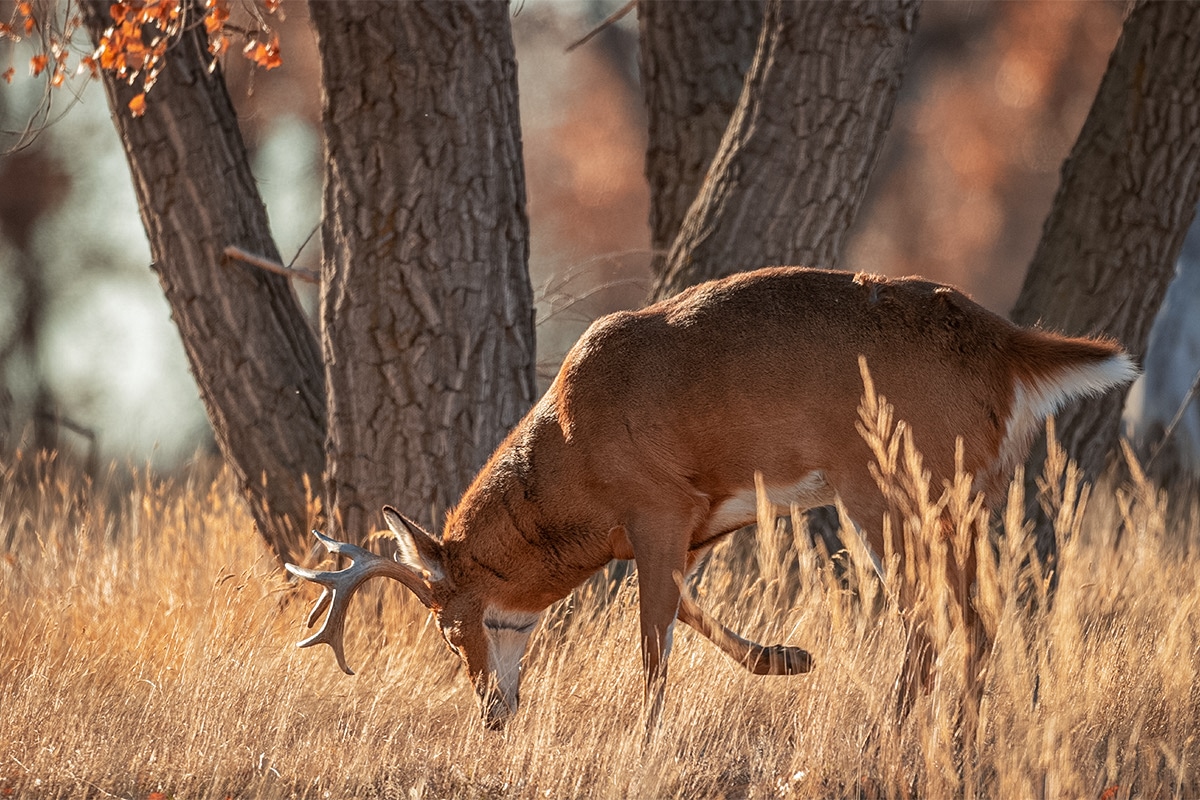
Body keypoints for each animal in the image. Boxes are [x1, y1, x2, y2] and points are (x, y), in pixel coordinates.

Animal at [285, 267, 1137, 734]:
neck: (573, 457)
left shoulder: (654, 502)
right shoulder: (701, 517)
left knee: (940, 618)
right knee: (977, 618)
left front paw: (646, 741)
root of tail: (1010, 348)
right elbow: (688, 612)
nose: (492, 714)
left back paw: (893, 735)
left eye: (444, 624)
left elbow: (654, 640)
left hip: (893, 484)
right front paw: (789, 658)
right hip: (964, 496)